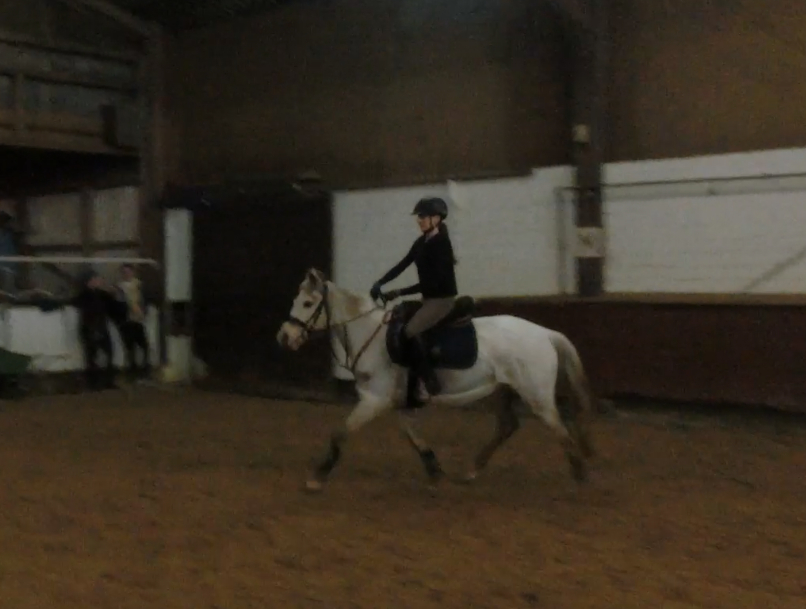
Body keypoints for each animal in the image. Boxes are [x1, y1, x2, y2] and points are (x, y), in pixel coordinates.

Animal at [276, 268, 596, 492]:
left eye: (308, 303)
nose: (285, 337)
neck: (371, 335)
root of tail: (546, 333)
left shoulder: (374, 399)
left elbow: (340, 433)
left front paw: (317, 478)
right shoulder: (401, 403)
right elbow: (414, 437)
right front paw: (435, 473)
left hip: (536, 396)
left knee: (560, 430)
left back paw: (580, 478)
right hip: (505, 390)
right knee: (507, 426)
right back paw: (471, 471)